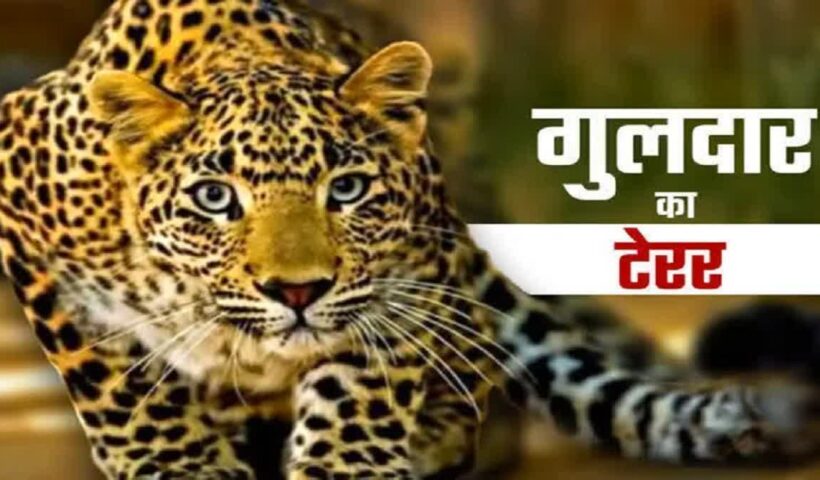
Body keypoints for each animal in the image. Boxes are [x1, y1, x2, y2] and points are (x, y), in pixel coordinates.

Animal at [0, 0, 815, 479]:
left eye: (346, 189)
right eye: (214, 198)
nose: (297, 291)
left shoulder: (408, 270)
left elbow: (361, 381)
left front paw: (347, 466)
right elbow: (117, 380)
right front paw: (177, 465)